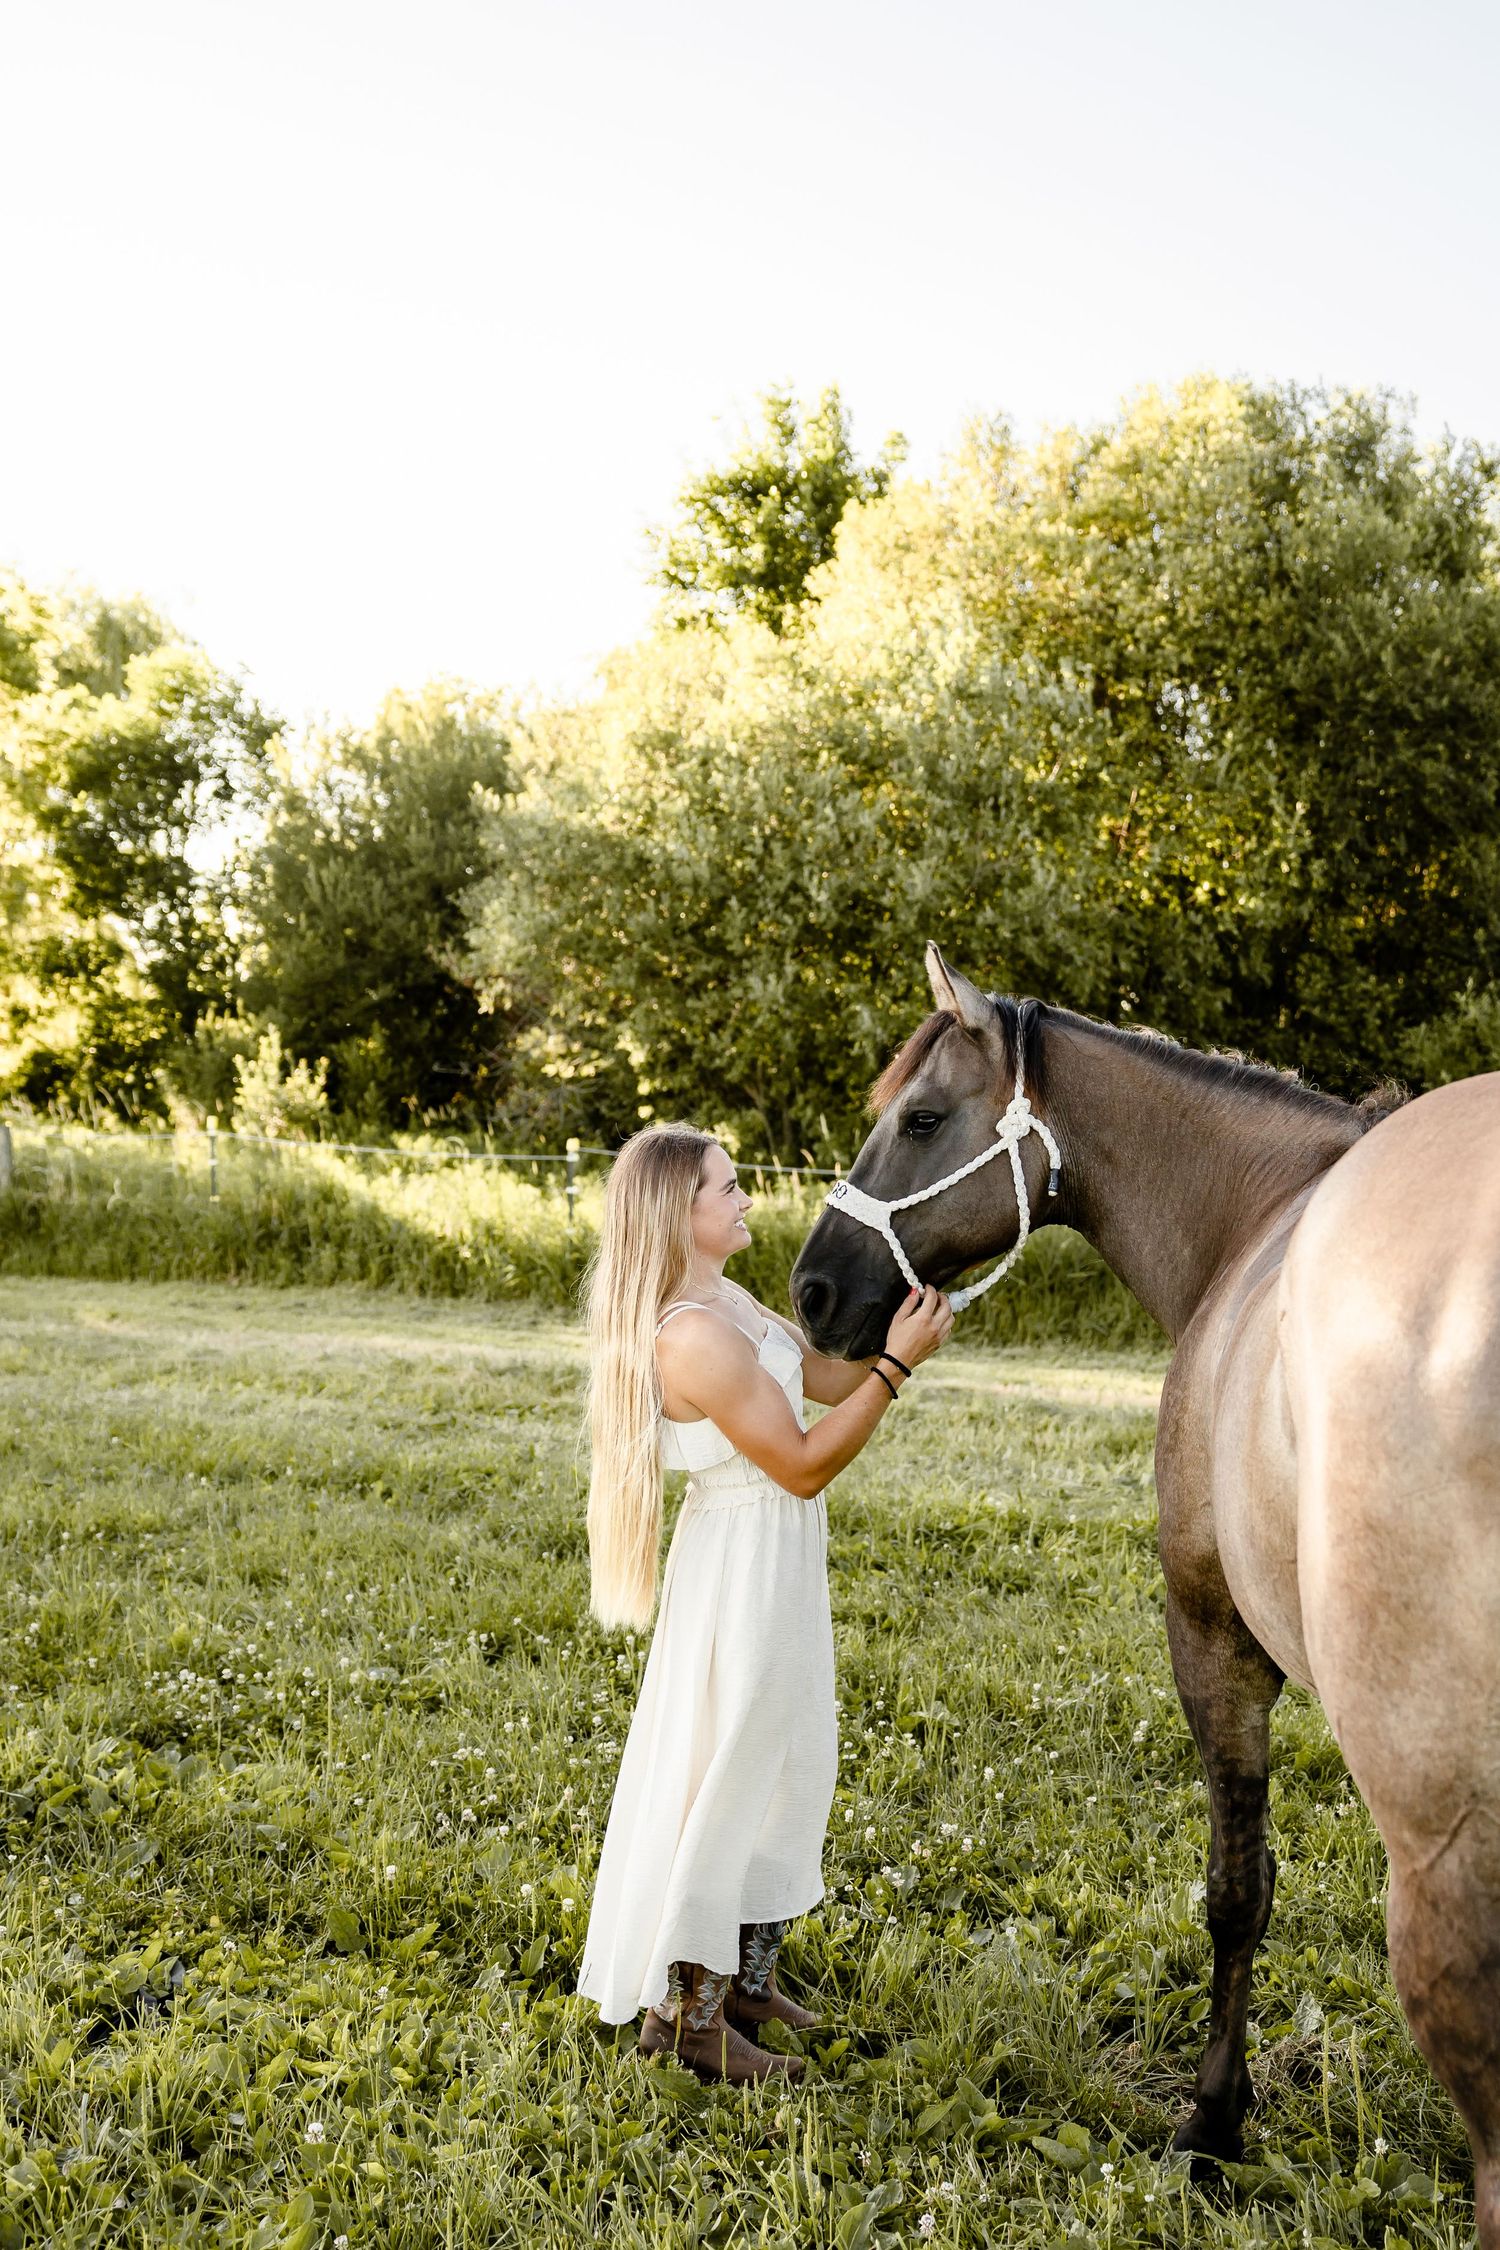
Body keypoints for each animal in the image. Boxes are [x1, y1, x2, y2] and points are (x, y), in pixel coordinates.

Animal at [790, 944, 1500, 2240]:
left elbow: (1237, 1894)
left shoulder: (1214, 1641)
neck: (1258, 1215)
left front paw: (1212, 2126)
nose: (813, 1290)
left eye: (921, 1120)